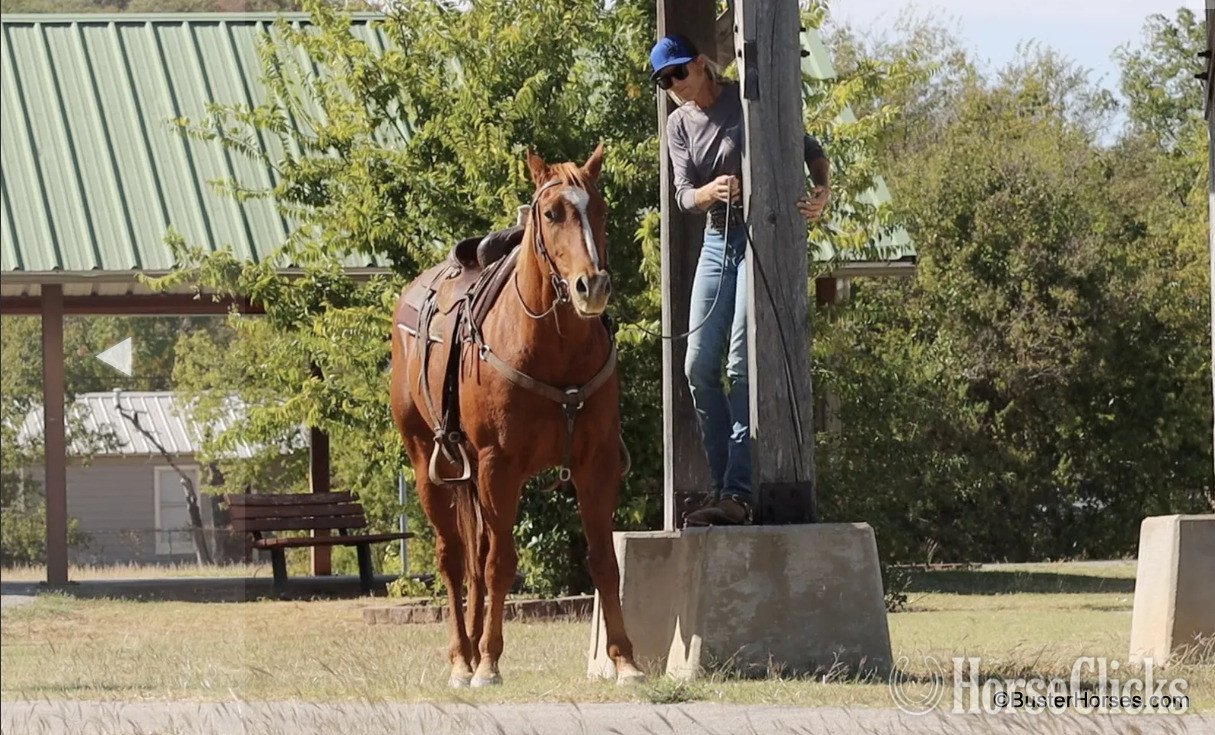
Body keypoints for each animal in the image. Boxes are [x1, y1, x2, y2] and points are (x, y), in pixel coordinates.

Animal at [389, 144, 645, 688]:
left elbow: (603, 560)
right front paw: (488, 662)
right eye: (551, 214)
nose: (592, 286)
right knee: (454, 558)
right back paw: (463, 659)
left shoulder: (596, 465)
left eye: (600, 210)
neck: (552, 348)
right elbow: (500, 564)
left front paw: (624, 659)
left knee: (477, 552)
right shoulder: (497, 466)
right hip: (428, 464)